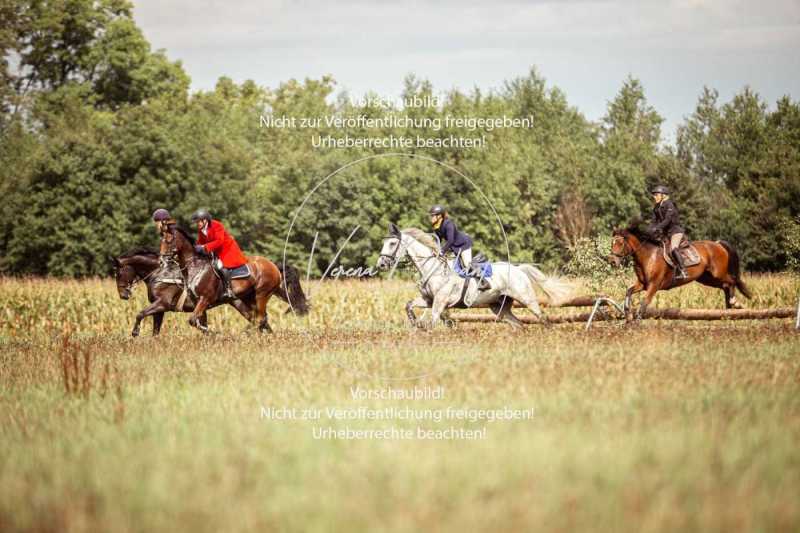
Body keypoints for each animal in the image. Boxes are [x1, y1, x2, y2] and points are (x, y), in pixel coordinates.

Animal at [112, 246, 310, 334]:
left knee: (260, 318)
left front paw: (135, 333)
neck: (160, 272)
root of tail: (273, 266)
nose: (123, 295)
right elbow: (155, 329)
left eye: (118, 272)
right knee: (259, 319)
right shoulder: (160, 308)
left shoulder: (163, 304)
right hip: (241, 302)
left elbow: (140, 314)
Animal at [159, 224, 288, 332]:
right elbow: (197, 322)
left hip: (262, 295)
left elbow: (193, 320)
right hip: (249, 297)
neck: (196, 267)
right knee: (260, 318)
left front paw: (211, 332)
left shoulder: (205, 299)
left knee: (259, 319)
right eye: (162, 240)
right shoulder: (198, 302)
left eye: (169, 240)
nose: (161, 261)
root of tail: (274, 266)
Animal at [376, 222, 576, 326]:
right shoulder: (429, 300)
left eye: (392, 244)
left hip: (526, 298)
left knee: (543, 318)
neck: (432, 268)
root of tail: (518, 269)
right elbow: (409, 305)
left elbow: (433, 321)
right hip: (499, 306)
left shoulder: (440, 301)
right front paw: (414, 323)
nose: (381, 264)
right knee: (518, 324)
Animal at [608, 222, 752, 318]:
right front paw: (626, 311)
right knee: (725, 286)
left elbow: (644, 303)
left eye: (620, 243)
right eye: (612, 243)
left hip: (718, 273)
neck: (648, 255)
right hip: (706, 278)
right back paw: (730, 307)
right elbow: (629, 291)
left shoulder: (654, 285)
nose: (612, 261)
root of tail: (718, 244)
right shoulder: (643, 284)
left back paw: (734, 303)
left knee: (732, 281)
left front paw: (636, 321)